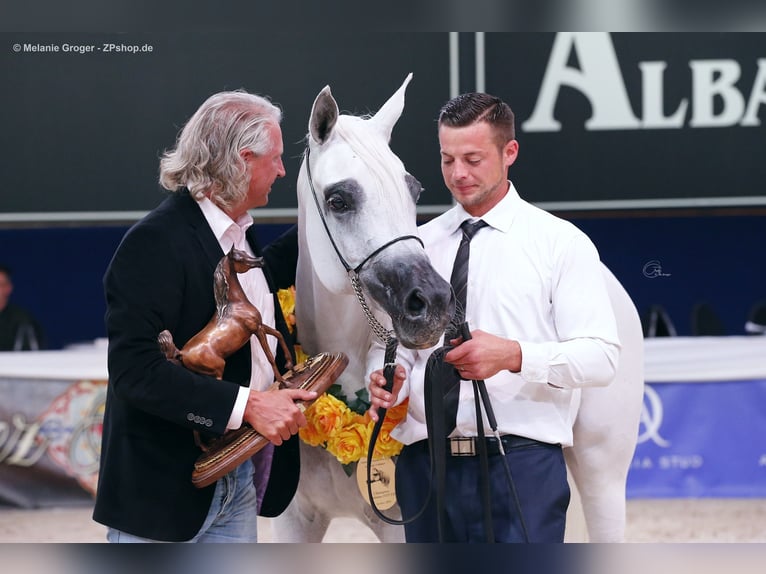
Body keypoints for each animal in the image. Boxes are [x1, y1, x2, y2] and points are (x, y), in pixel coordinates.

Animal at [272, 74, 644, 544]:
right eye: (338, 199)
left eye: (412, 189)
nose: (430, 302)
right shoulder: (294, 519)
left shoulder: (399, 526)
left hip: (602, 473)